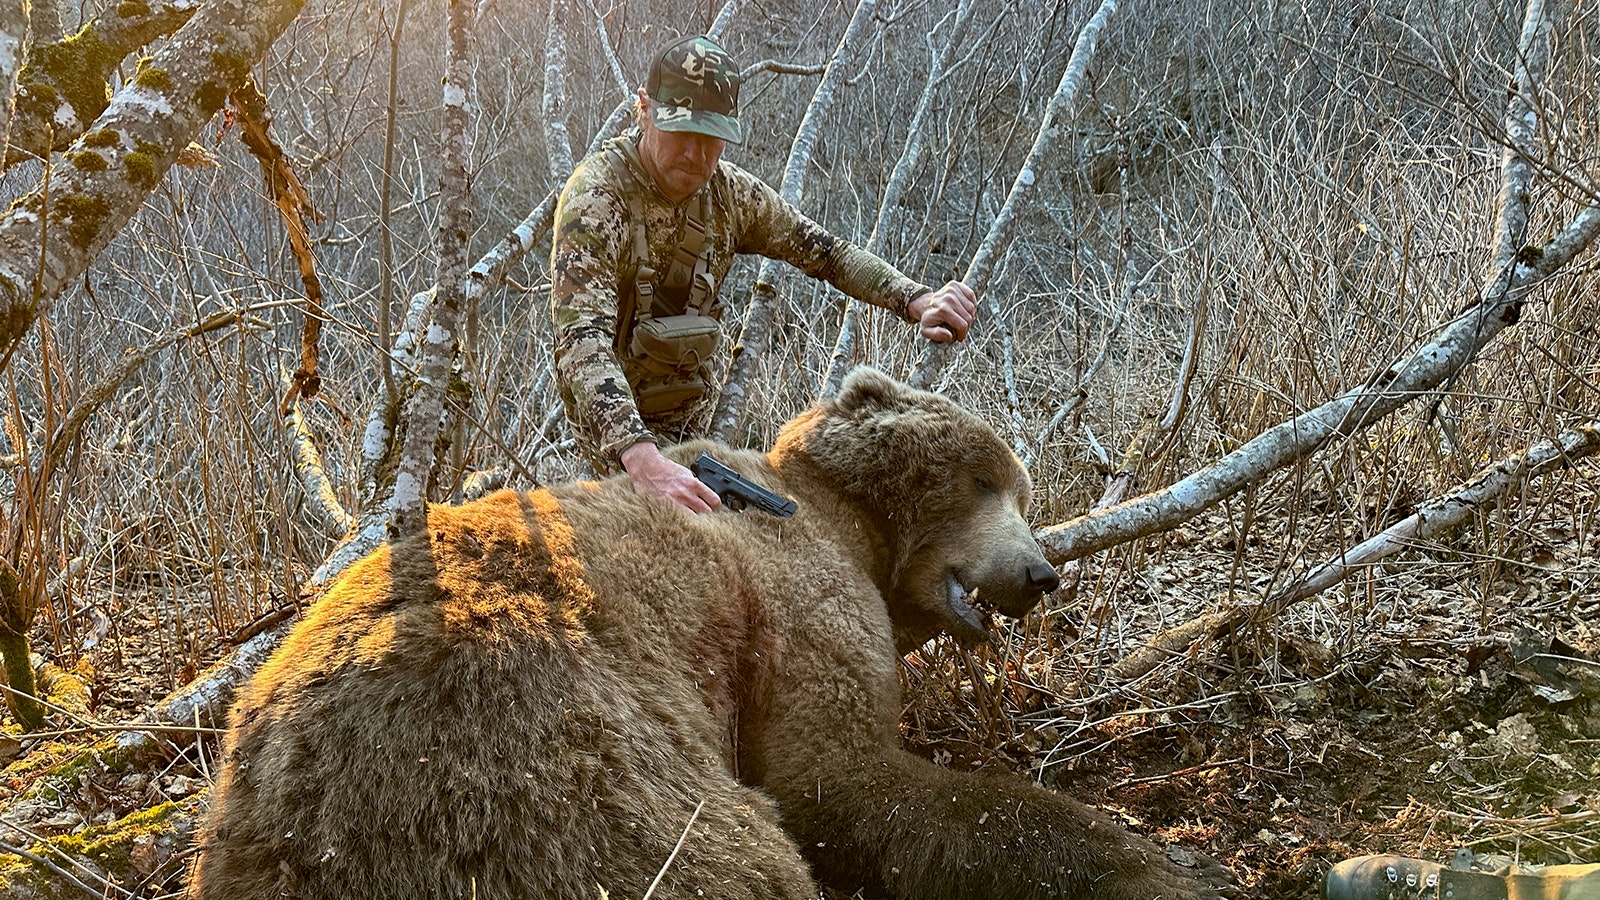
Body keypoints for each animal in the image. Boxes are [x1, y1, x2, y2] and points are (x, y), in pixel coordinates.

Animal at [193, 366, 1228, 896]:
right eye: (983, 480)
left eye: (1022, 488)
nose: (1040, 573)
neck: (848, 523)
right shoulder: (797, 600)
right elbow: (838, 777)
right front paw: (1146, 864)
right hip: (542, 757)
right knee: (709, 852)